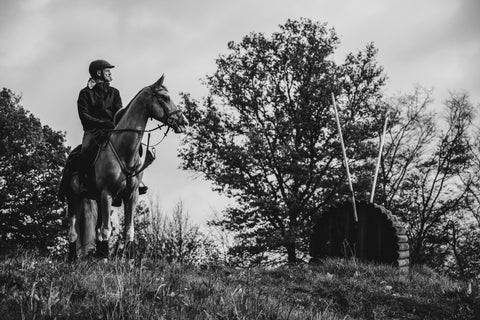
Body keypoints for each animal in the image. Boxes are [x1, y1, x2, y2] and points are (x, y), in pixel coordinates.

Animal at [63, 75, 189, 260]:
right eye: (165, 98)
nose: (184, 122)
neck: (124, 151)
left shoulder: (131, 195)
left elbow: (129, 230)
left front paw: (129, 260)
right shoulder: (107, 194)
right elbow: (107, 230)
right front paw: (105, 260)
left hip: (96, 199)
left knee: (96, 229)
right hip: (74, 198)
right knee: (73, 231)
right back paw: (73, 259)